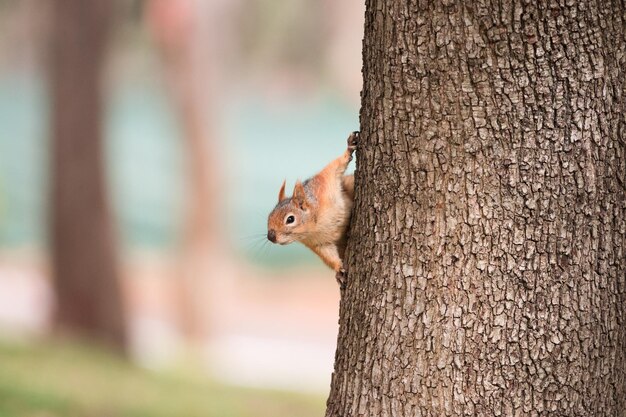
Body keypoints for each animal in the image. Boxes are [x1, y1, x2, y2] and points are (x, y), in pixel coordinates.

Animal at [266, 131, 358, 286]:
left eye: (290, 219)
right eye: (269, 217)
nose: (270, 237)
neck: (315, 224)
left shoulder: (324, 184)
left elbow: (335, 167)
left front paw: (349, 149)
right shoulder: (319, 244)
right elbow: (329, 256)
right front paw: (339, 269)